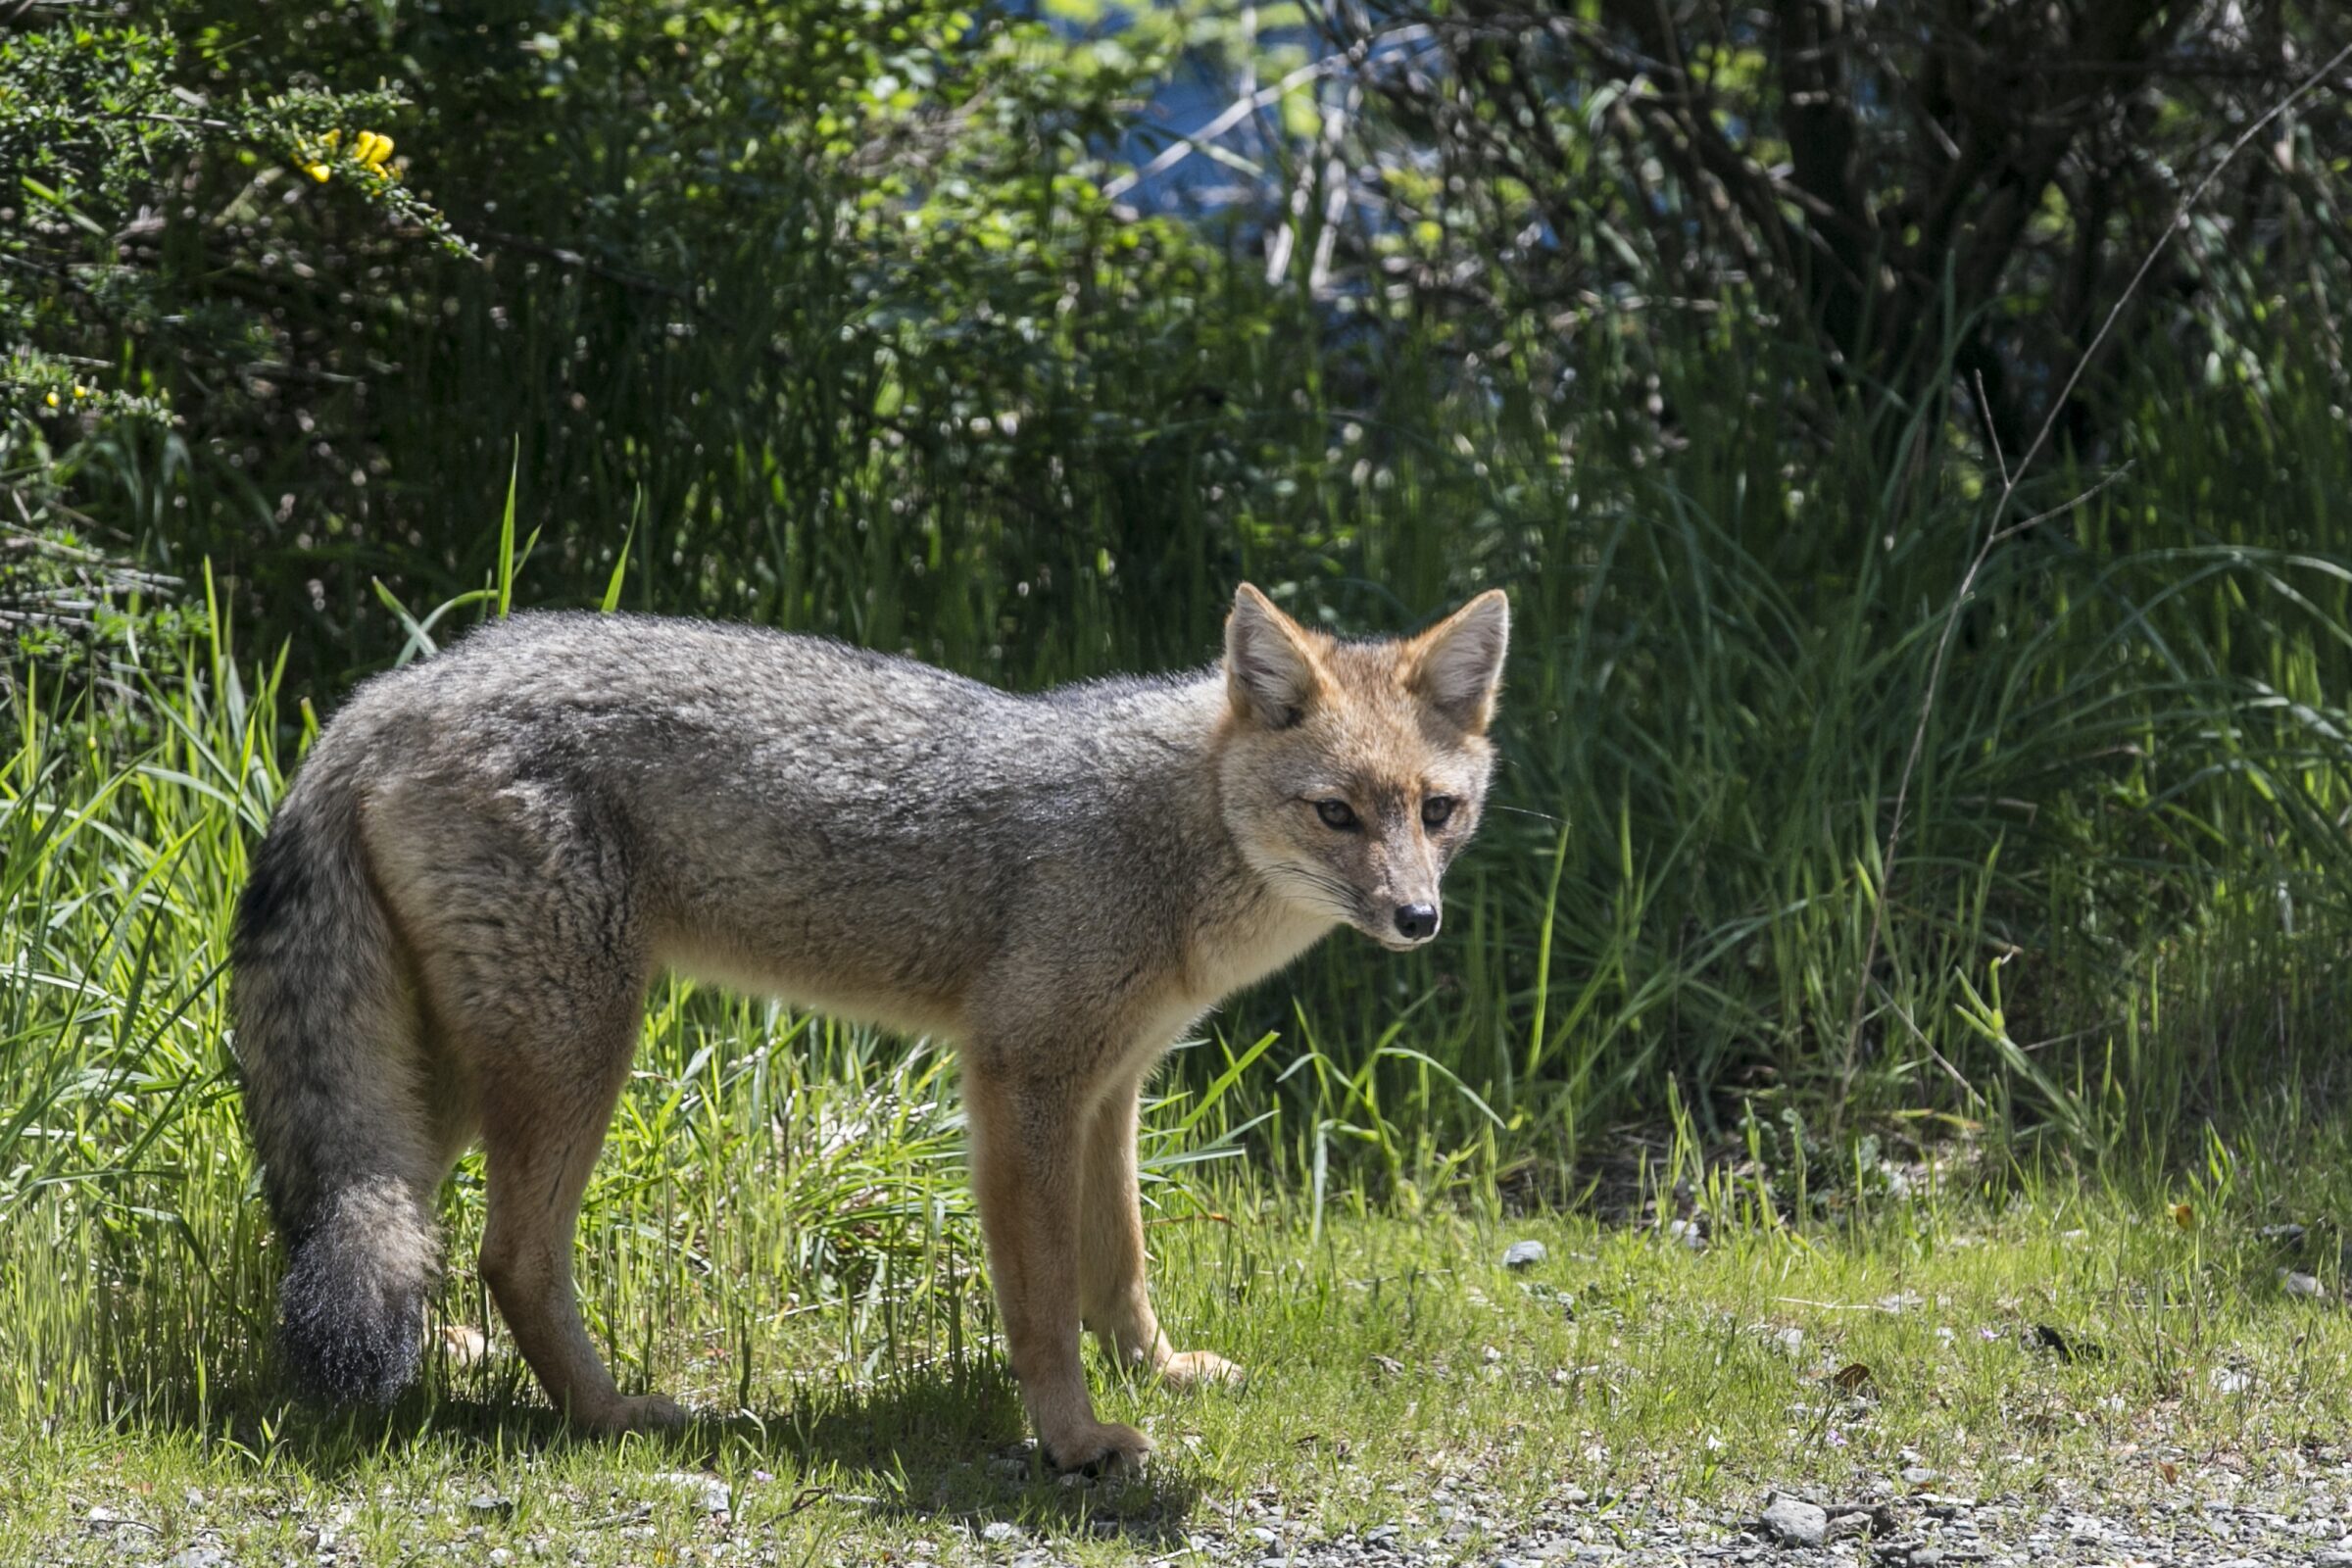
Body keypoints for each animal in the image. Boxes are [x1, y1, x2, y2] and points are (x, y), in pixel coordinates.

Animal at [228, 582, 1509, 1471]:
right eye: (1336, 813)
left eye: (1437, 812)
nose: (1419, 918)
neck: (1169, 825)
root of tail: (385, 694)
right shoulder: (1021, 1082)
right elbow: (1046, 1301)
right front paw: (1075, 1441)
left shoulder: (1113, 1087)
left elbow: (1122, 1267)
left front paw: (1158, 1371)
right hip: (577, 1053)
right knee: (510, 1255)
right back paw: (608, 1414)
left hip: (447, 1085)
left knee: (372, 1218)